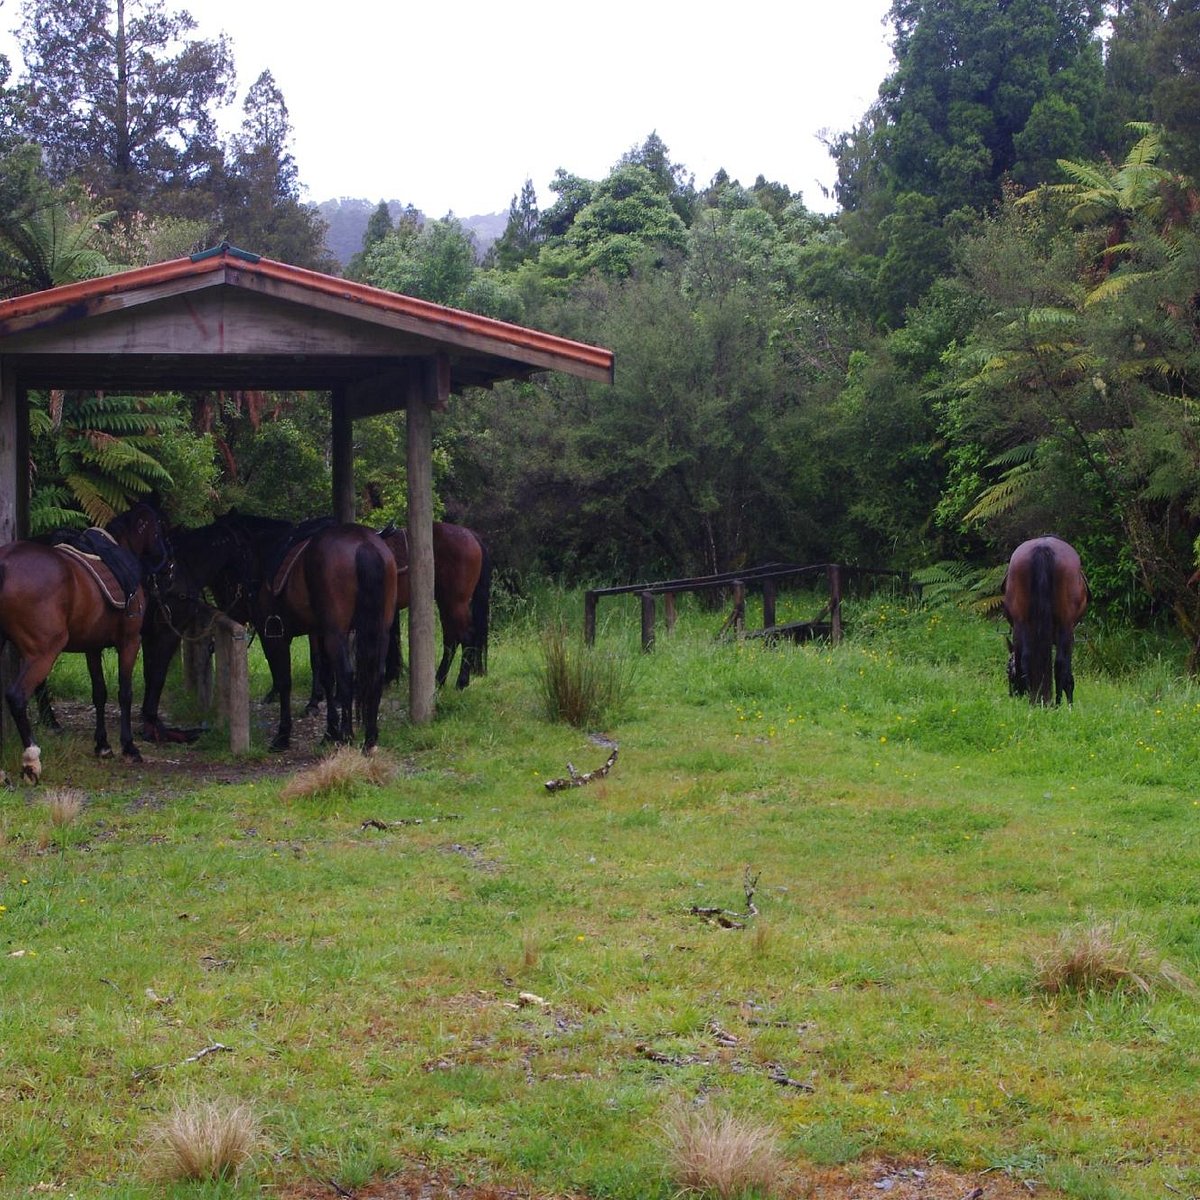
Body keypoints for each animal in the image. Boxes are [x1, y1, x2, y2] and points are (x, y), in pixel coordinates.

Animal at [0, 501, 171, 782]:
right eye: (158, 530)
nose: (168, 565)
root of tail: (4, 564)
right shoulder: (129, 641)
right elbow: (125, 693)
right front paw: (129, 746)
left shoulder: (92, 647)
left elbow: (99, 692)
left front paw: (102, 745)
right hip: (43, 652)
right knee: (16, 696)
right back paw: (31, 760)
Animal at [211, 513, 398, 748]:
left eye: (225, 566)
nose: (226, 609)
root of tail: (364, 544)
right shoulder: (319, 633)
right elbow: (326, 677)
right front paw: (329, 731)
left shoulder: (274, 636)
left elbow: (284, 681)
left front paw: (283, 734)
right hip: (378, 631)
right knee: (375, 674)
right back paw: (370, 738)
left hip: (337, 634)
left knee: (346, 675)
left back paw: (347, 735)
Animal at [1003, 537, 1089, 700]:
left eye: (1007, 672)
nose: (1012, 694)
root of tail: (1043, 546)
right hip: (1065, 627)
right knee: (1061, 666)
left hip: (1022, 622)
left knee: (1025, 658)